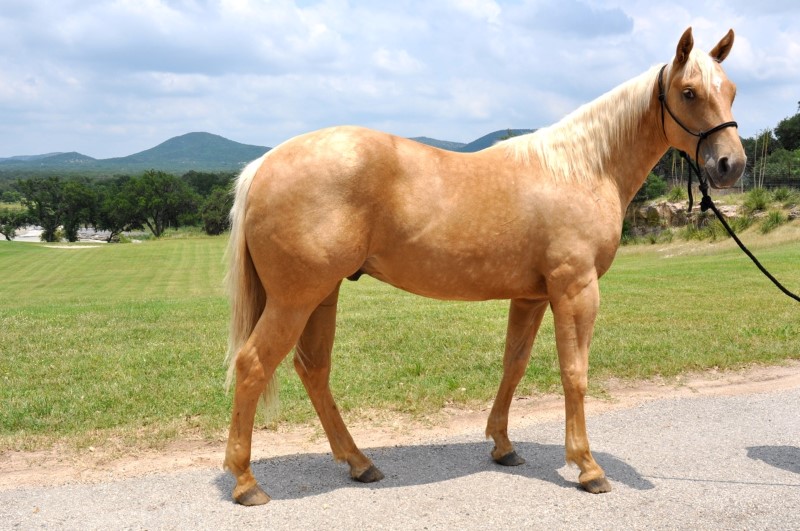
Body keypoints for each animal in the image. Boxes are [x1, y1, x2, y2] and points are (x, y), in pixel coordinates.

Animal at [223, 28, 744, 508]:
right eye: (689, 92)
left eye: (733, 89)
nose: (730, 165)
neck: (580, 169)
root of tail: (263, 164)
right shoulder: (575, 289)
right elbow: (574, 372)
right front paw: (588, 467)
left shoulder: (532, 295)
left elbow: (514, 364)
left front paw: (503, 446)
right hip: (296, 298)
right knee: (253, 365)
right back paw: (247, 483)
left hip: (323, 294)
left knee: (313, 369)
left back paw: (359, 463)